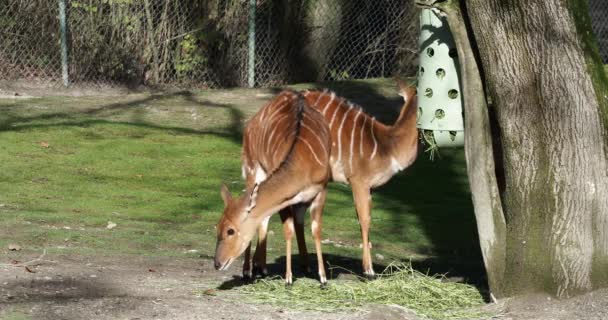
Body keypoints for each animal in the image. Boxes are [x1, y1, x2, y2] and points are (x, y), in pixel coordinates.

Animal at [215, 89, 332, 284]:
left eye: (230, 230)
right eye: (217, 226)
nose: (217, 263)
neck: (304, 163)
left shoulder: (320, 190)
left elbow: (315, 230)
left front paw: (322, 278)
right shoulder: (285, 199)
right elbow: (288, 230)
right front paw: (288, 279)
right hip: (252, 170)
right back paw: (250, 270)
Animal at [247, 81, 418, 278]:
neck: (387, 147)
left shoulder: (370, 188)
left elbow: (364, 218)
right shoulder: (358, 181)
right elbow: (365, 220)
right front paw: (369, 270)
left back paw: (282, 266)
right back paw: (258, 268)